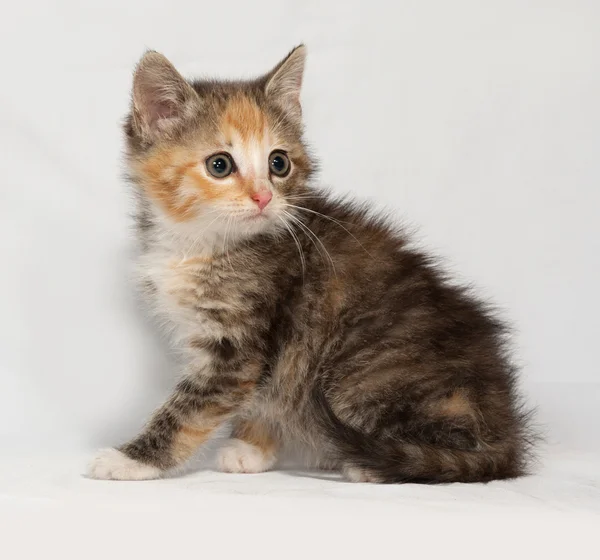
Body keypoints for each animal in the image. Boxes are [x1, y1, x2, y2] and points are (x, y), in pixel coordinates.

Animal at [86, 46, 532, 484]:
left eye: (278, 163)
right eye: (220, 165)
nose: (264, 197)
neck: (202, 243)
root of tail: (506, 427)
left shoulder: (238, 349)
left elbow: (189, 409)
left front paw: (130, 460)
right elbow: (260, 394)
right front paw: (252, 449)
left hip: (365, 375)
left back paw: (372, 464)